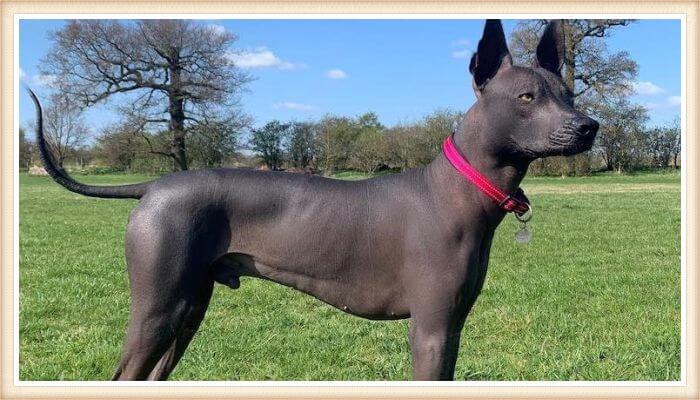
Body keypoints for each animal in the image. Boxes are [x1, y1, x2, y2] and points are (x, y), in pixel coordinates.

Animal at [30, 19, 600, 382]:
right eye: (527, 97)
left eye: (568, 94)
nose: (588, 126)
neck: (454, 191)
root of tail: (155, 186)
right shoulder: (431, 330)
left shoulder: (453, 328)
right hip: (158, 307)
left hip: (188, 307)